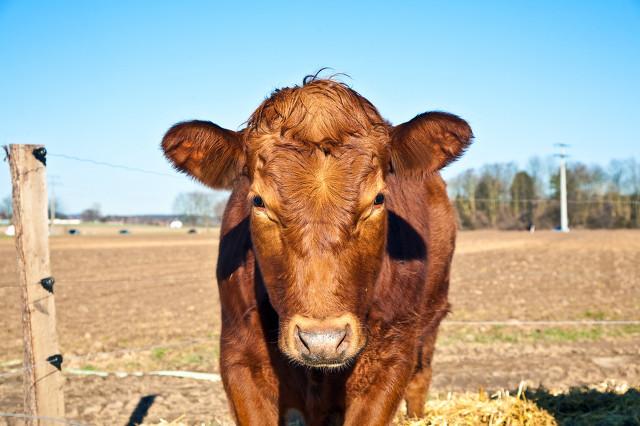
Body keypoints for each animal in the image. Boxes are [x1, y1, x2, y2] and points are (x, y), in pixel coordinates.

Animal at [160, 76, 470, 426]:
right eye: (258, 201)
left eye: (378, 199)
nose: (323, 341)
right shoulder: (239, 357)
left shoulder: (391, 358)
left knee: (420, 379)